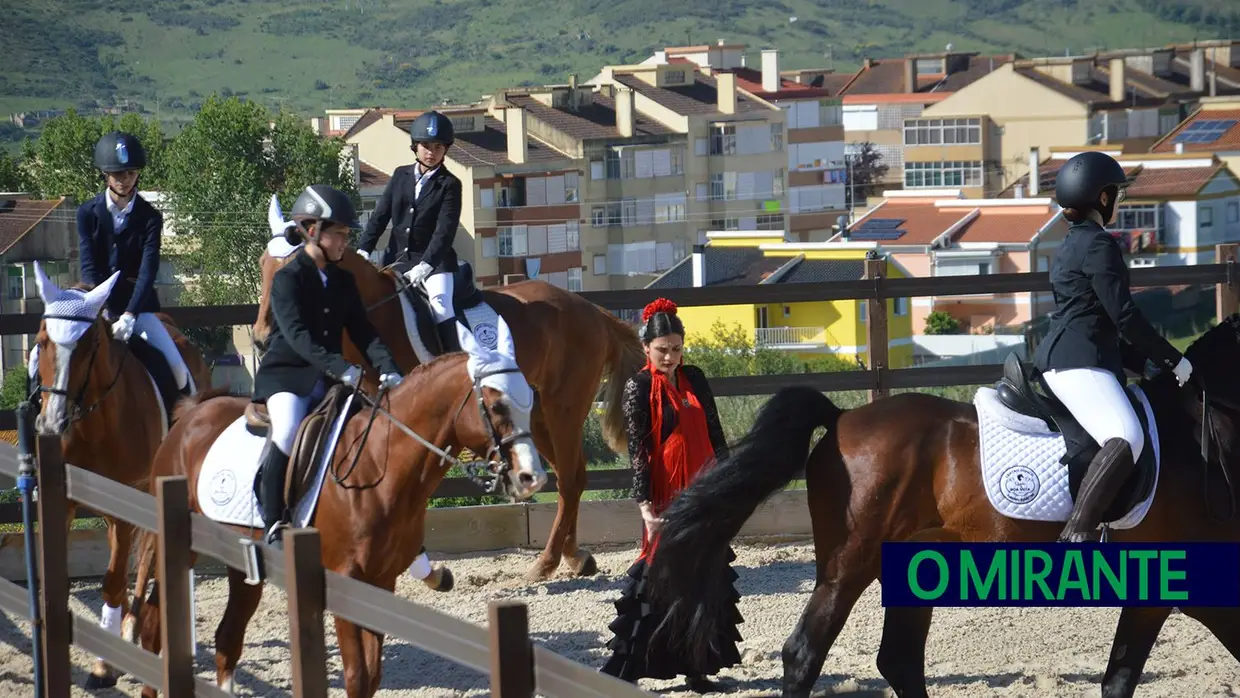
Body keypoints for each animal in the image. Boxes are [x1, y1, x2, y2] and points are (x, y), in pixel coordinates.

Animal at [27, 264, 213, 694]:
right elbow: (56, 578)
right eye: (42, 340)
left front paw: (103, 665)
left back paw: (129, 631)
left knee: (145, 558)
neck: (93, 422)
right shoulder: (63, 501)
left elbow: (113, 581)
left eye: (89, 343)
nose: (52, 423)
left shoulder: (128, 499)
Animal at [129, 317, 548, 698]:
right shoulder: (344, 579)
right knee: (152, 624)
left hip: (240, 559)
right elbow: (357, 677)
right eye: (496, 405)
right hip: (175, 545)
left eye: (530, 399)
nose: (532, 478)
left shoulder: (381, 581)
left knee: (227, 637)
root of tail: (190, 416)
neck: (377, 466)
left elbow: (372, 677)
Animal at [249, 242, 639, 582]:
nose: (262, 339)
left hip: (563, 411)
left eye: (290, 270)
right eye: (262, 265)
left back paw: (546, 563)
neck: (378, 313)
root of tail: (591, 310)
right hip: (538, 417)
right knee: (569, 477)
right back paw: (574, 557)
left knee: (570, 479)